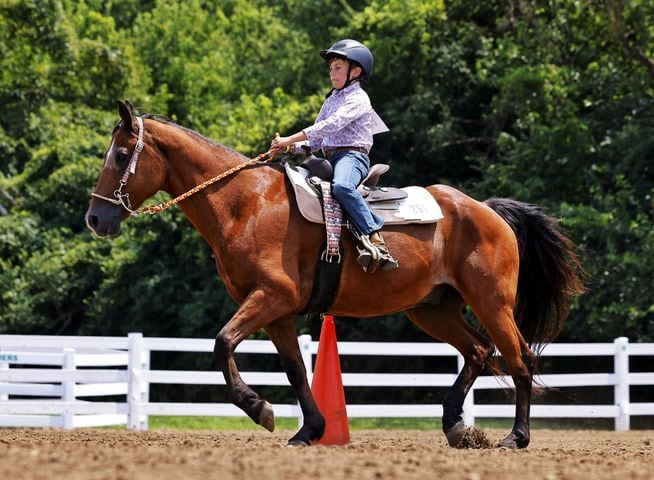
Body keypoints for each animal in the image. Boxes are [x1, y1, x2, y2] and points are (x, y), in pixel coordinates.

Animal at [86, 101, 584, 450]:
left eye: (122, 154)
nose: (95, 218)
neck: (245, 204)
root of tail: (487, 210)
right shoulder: (276, 312)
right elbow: (294, 370)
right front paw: (309, 430)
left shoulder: (271, 297)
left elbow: (223, 342)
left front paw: (260, 409)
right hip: (433, 310)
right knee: (479, 351)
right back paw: (454, 427)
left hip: (492, 303)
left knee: (520, 359)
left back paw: (515, 437)